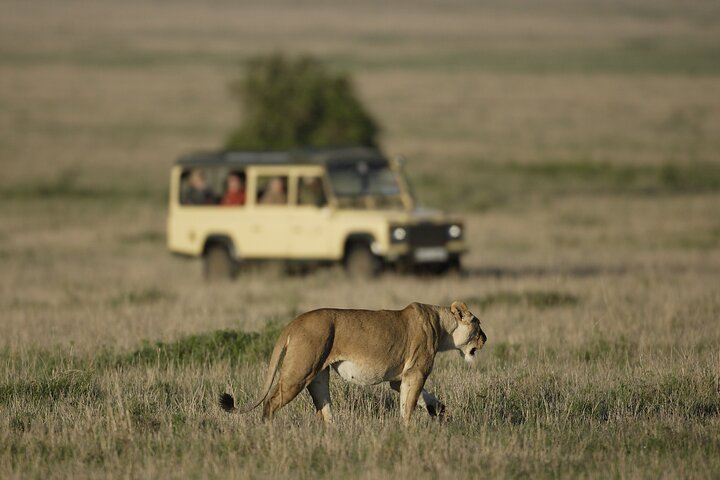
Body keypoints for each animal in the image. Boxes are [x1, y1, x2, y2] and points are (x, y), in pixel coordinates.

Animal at [219, 301, 487, 424]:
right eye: (477, 323)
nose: (485, 338)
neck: (443, 328)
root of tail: (294, 322)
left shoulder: (400, 378)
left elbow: (422, 397)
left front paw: (438, 410)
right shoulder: (416, 372)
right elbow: (408, 405)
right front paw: (408, 431)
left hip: (318, 375)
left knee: (324, 410)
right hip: (300, 371)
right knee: (271, 402)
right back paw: (268, 431)